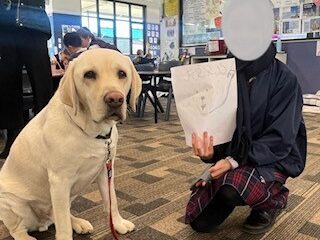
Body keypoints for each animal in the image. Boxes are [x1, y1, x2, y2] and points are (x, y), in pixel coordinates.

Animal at [0, 48, 141, 240]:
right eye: (89, 74)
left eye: (122, 74)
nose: (115, 99)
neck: (93, 133)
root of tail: (41, 222)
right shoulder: (60, 180)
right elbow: (63, 226)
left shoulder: (106, 170)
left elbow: (111, 201)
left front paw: (118, 224)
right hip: (13, 204)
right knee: (18, 229)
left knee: (60, 215)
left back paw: (78, 222)